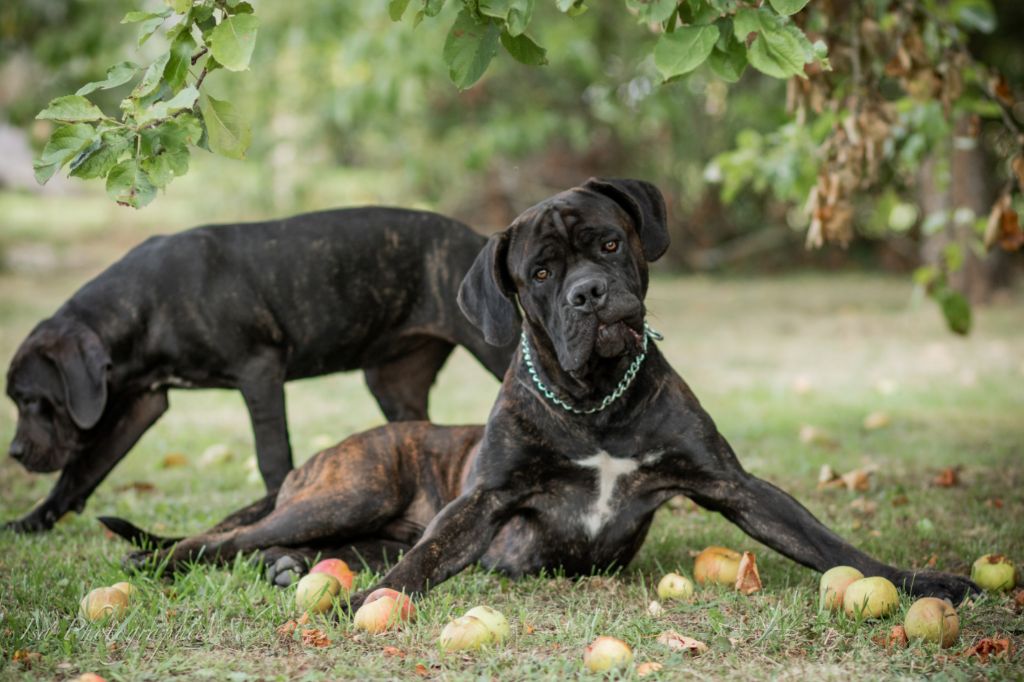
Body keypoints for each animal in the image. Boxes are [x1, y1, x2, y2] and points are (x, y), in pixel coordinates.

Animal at [7, 206, 516, 532]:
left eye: (33, 400)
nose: (13, 452)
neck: (144, 306)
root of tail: (476, 240)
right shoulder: (141, 403)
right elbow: (83, 471)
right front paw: (31, 523)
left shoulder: (259, 371)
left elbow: (272, 455)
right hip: (392, 381)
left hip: (495, 350)